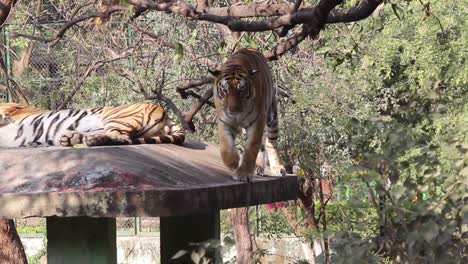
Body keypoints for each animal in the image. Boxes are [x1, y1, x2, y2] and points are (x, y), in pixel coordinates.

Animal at [210, 47, 288, 182]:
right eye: (225, 90)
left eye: (241, 90)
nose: (233, 110)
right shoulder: (224, 120)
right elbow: (226, 145)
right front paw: (233, 163)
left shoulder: (257, 121)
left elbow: (251, 148)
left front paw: (244, 173)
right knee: (261, 146)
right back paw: (258, 167)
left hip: (272, 117)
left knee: (270, 143)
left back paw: (277, 168)